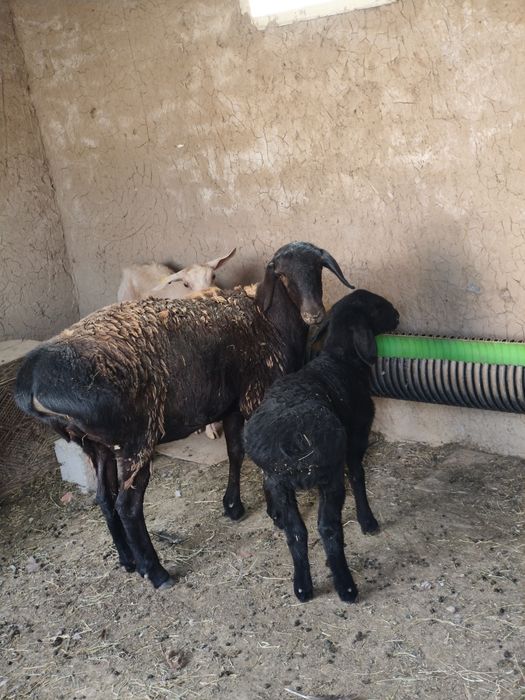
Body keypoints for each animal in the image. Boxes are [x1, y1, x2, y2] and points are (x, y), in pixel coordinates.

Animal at [15, 242, 353, 589]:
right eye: (283, 274)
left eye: (317, 268)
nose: (314, 313)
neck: (268, 317)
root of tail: (32, 379)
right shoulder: (255, 395)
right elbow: (257, 460)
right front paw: (274, 512)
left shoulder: (231, 404)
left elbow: (235, 452)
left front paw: (233, 506)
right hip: (136, 438)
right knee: (127, 506)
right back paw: (155, 571)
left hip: (97, 445)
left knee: (104, 499)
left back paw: (127, 560)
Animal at [244, 290, 399, 602]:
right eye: (378, 306)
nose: (398, 315)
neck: (340, 359)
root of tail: (292, 441)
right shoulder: (357, 438)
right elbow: (358, 476)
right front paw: (367, 522)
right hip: (328, 476)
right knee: (328, 529)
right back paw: (346, 587)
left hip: (279, 481)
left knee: (296, 531)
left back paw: (302, 587)